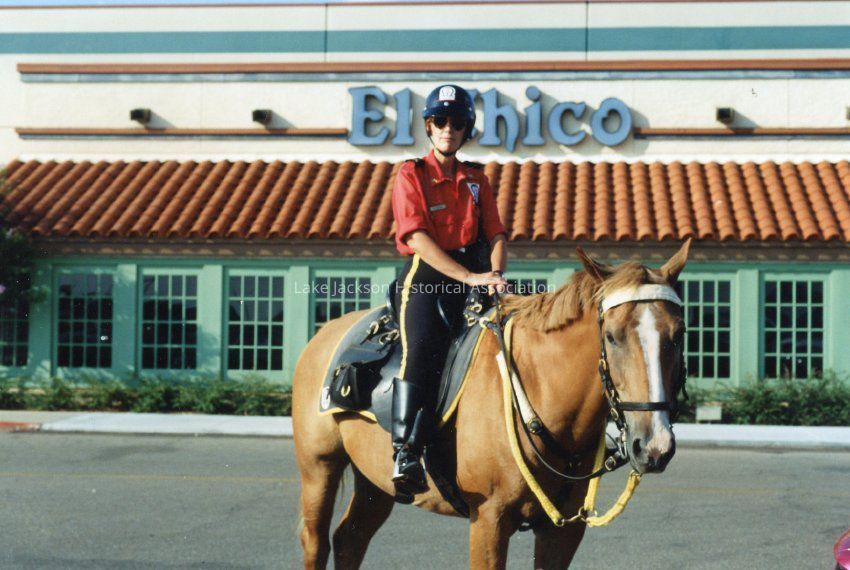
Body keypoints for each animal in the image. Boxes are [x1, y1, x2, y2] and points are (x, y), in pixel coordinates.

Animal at [292, 239, 691, 569]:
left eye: (678, 335)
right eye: (611, 336)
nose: (654, 446)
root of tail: (326, 335)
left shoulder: (562, 531)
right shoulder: (489, 520)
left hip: (374, 483)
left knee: (350, 539)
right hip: (319, 468)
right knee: (317, 542)